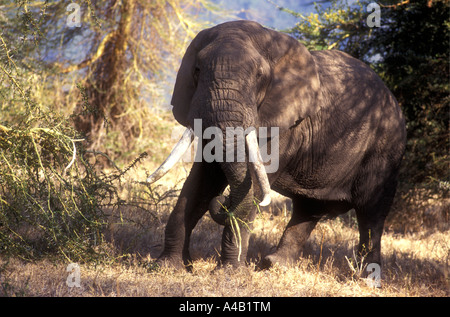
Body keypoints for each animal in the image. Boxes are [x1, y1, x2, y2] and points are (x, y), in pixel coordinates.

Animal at [146, 20, 406, 272]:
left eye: (259, 76)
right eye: (197, 70)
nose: (223, 201)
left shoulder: (285, 126)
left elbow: (253, 185)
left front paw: (228, 274)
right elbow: (201, 182)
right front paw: (166, 267)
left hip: (386, 151)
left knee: (371, 215)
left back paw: (366, 277)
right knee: (309, 208)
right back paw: (274, 265)